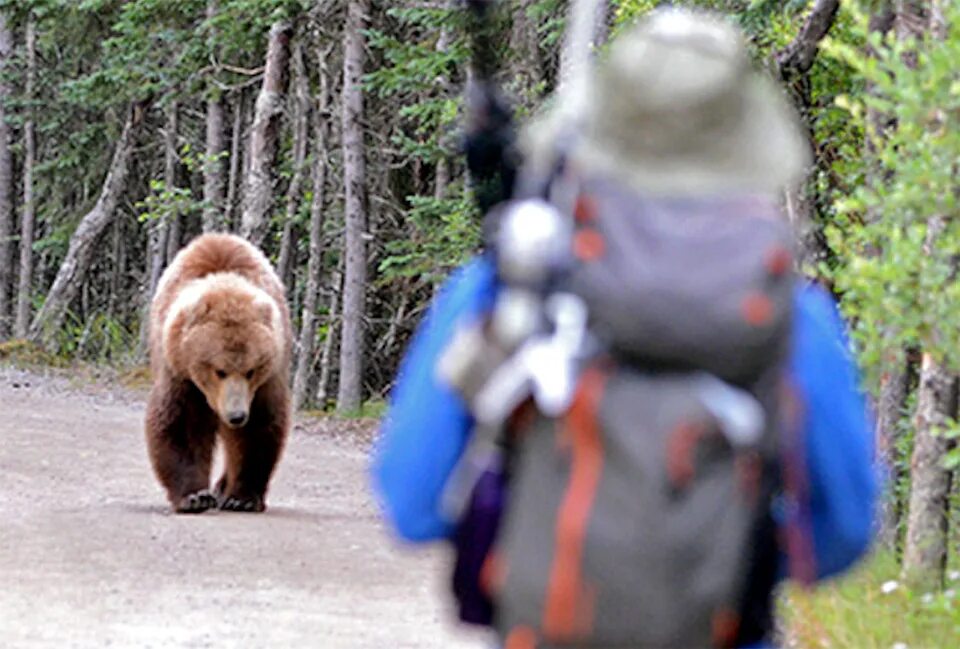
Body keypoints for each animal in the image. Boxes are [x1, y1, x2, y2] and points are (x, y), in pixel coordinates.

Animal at [144, 233, 290, 512]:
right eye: (219, 371)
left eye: (251, 370)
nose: (236, 415)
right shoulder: (180, 373)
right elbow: (182, 424)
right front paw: (194, 496)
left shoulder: (265, 381)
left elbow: (257, 428)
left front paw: (241, 497)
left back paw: (223, 488)